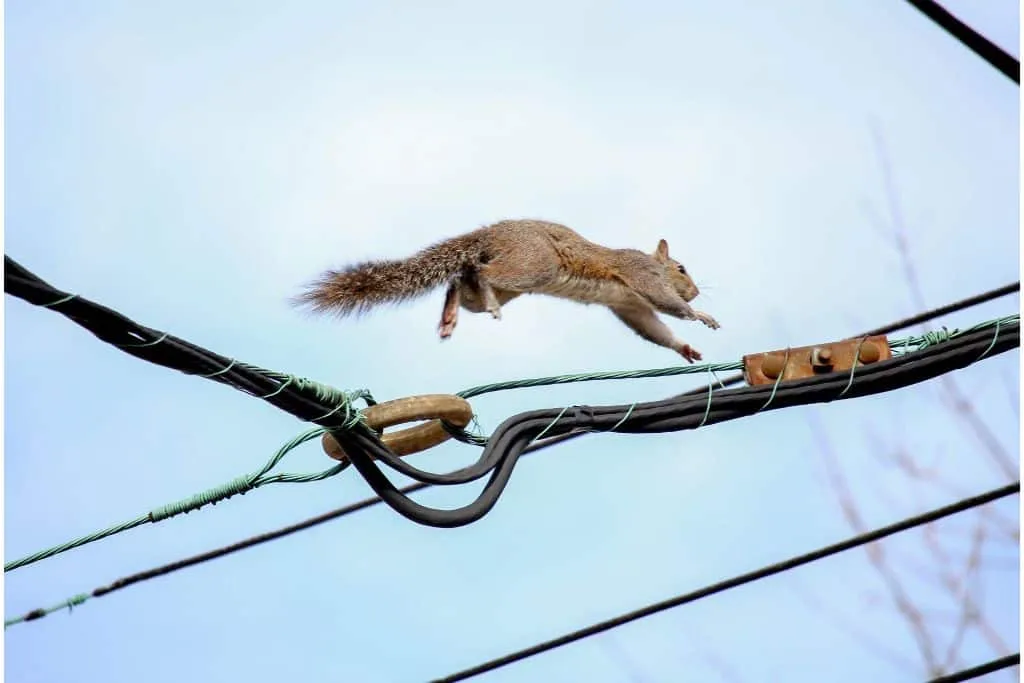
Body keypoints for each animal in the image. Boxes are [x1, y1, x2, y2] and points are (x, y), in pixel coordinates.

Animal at [299, 222, 720, 366]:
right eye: (681, 268)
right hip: (535, 265)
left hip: (512, 280)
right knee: (482, 274)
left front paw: (685, 348)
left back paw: (450, 315)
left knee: (461, 278)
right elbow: (665, 303)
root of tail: (489, 234)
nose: (696, 292)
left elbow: (652, 327)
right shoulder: (640, 277)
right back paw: (486, 303)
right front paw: (701, 316)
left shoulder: (629, 304)